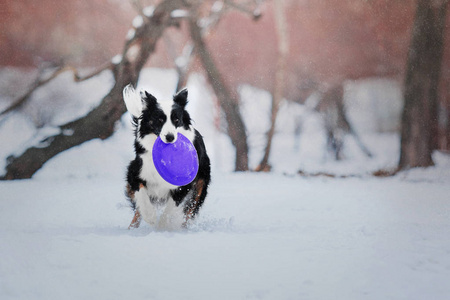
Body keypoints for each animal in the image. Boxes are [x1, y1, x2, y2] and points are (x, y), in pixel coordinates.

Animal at [123, 84, 211, 230]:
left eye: (176, 120)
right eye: (159, 120)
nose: (170, 137)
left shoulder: (184, 184)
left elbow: (171, 207)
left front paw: (163, 226)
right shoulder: (135, 172)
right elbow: (141, 195)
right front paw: (151, 217)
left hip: (201, 185)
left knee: (189, 211)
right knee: (137, 211)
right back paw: (132, 228)